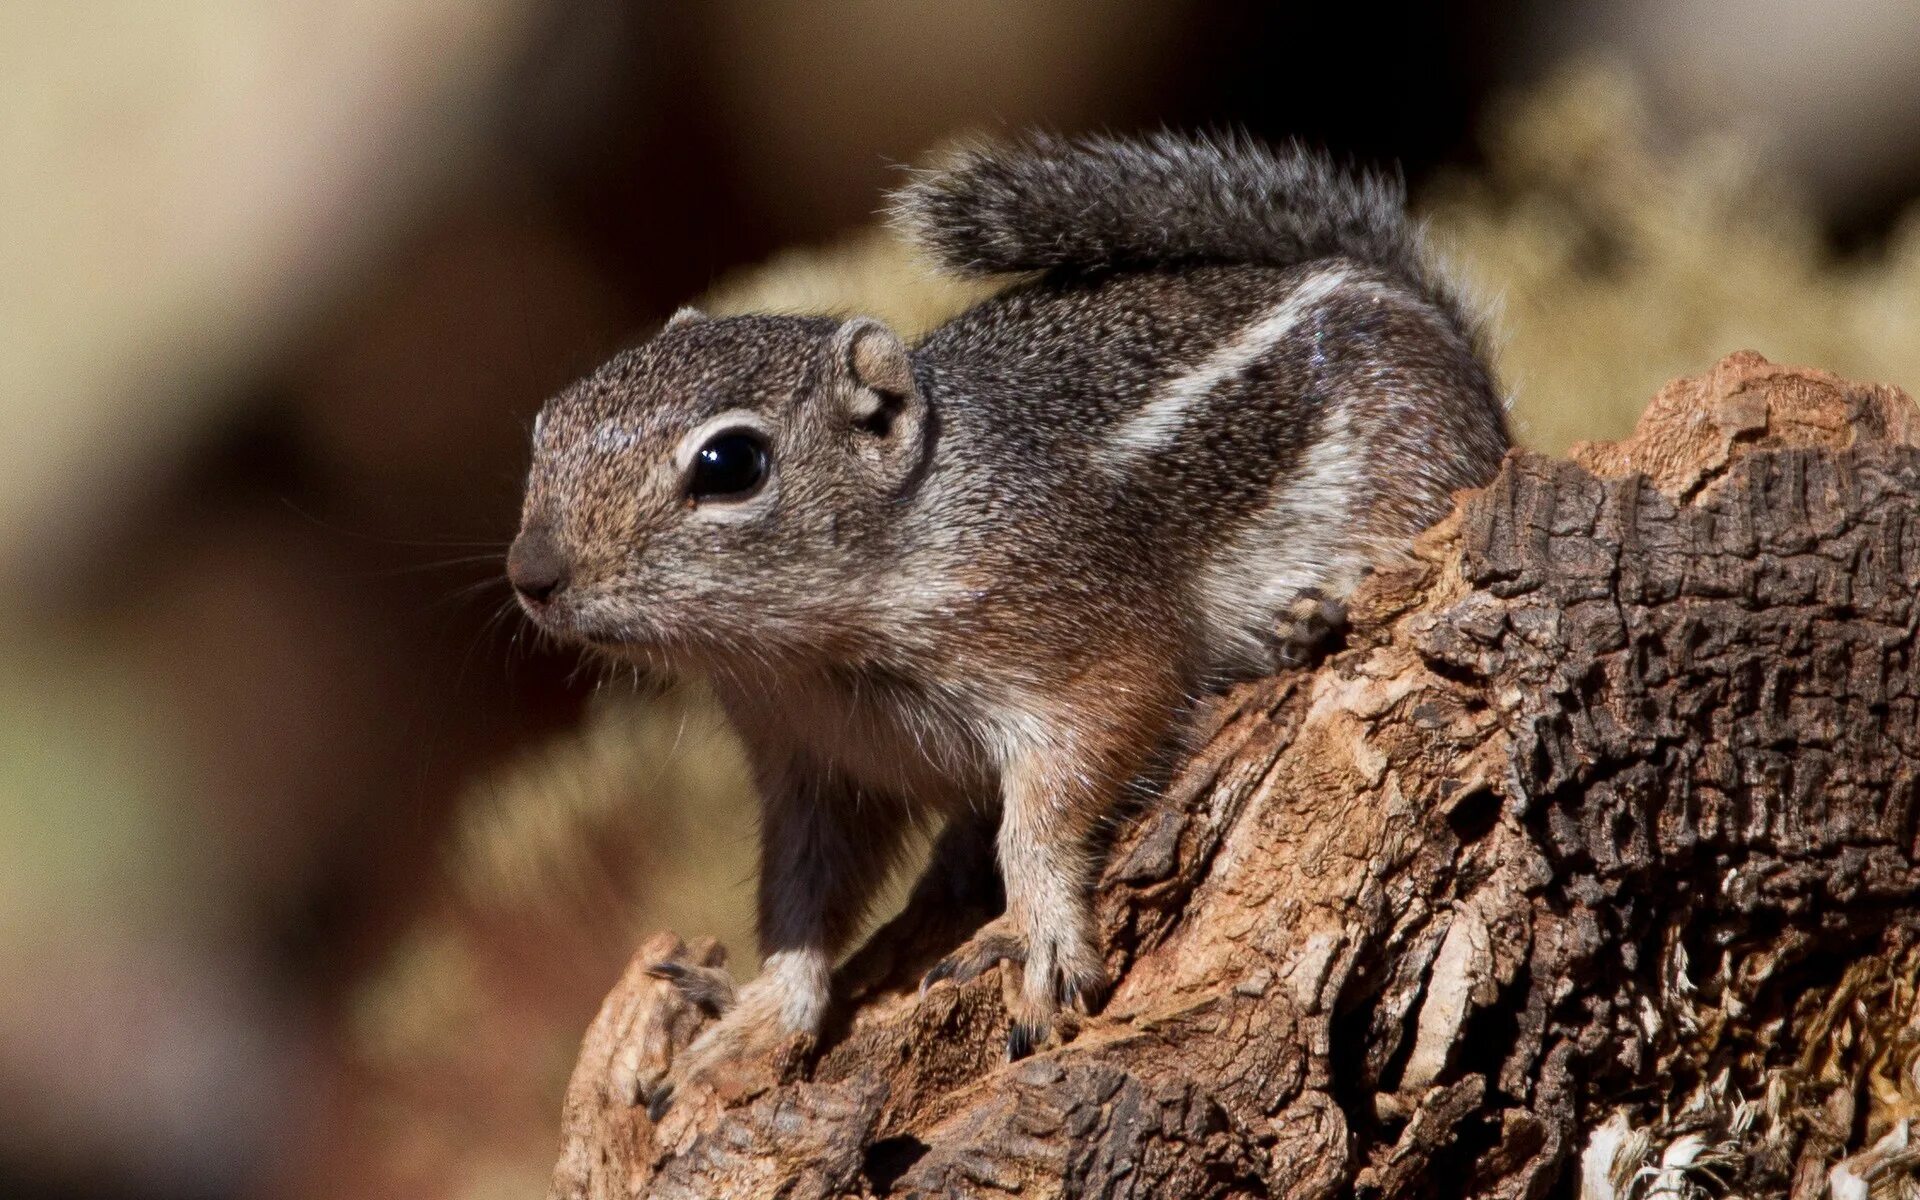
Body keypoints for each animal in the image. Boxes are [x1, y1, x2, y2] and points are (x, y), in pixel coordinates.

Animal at [506, 128, 1512, 1105]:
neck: (818, 646)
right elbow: (802, 896)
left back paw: (1310, 609)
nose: (530, 572)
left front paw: (1039, 937)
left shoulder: (1080, 644)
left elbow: (1061, 794)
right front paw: (756, 1021)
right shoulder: (814, 766)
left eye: (730, 464)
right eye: (549, 424)